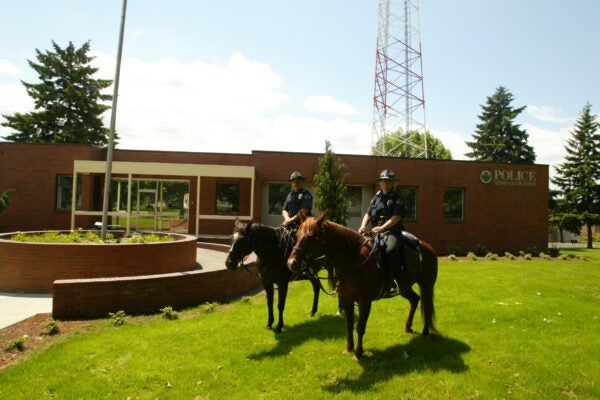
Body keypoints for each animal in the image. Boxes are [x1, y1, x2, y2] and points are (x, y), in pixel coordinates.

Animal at [288, 214, 438, 360]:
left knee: (426, 305)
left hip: (426, 286)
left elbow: (360, 327)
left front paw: (358, 353)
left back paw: (425, 332)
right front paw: (348, 348)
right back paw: (408, 327)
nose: (291, 263)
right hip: (404, 288)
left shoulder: (365, 301)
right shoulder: (346, 299)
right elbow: (349, 325)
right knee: (415, 300)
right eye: (297, 235)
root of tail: (428, 247)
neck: (354, 262)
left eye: (311, 236)